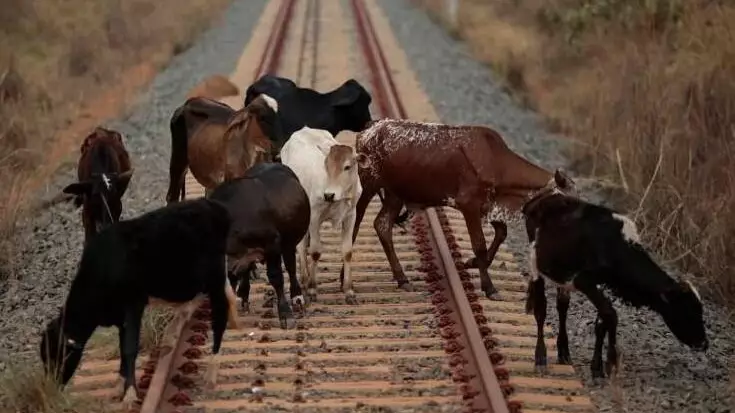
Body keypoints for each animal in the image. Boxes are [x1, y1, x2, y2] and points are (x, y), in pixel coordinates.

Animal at [278, 127, 366, 304]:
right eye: (326, 165)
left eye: (347, 166)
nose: (329, 195)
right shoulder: (314, 217)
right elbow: (315, 251)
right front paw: (312, 289)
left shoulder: (351, 215)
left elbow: (347, 252)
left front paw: (349, 291)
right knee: (301, 246)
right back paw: (304, 281)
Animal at [344, 118, 580, 300]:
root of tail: (371, 127)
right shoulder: (469, 206)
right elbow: (480, 245)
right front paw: (489, 287)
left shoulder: (488, 206)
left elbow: (500, 234)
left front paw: (474, 263)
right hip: (367, 185)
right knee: (355, 222)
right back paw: (344, 281)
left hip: (395, 195)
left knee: (382, 225)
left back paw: (402, 278)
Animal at [520, 189, 712, 376]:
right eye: (686, 310)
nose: (703, 343)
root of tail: (544, 196)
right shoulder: (584, 280)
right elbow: (611, 314)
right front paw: (611, 363)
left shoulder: (599, 283)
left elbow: (602, 320)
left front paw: (597, 366)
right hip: (536, 263)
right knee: (540, 310)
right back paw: (540, 358)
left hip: (561, 275)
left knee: (562, 307)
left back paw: (564, 352)